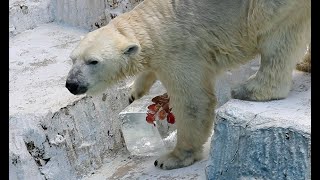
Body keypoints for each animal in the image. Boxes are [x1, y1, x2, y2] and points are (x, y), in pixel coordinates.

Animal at [65, 0, 310, 169]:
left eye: (93, 61)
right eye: (72, 59)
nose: (71, 84)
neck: (154, 22)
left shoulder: (179, 50)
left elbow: (194, 101)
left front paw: (171, 158)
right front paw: (135, 91)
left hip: (271, 6)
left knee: (278, 37)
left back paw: (251, 89)